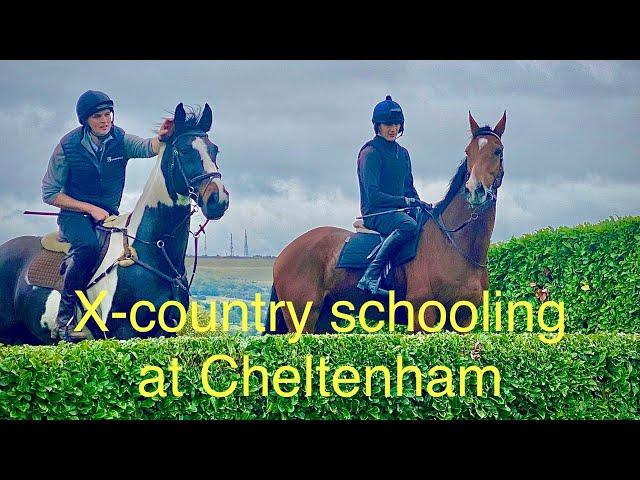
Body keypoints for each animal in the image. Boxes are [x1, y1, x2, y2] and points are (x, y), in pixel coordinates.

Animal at [0, 101, 230, 344]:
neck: (154, 250)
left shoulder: (165, 332)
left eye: (215, 150)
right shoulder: (123, 333)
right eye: (184, 150)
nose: (218, 200)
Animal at [268, 111, 504, 334]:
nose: (474, 190)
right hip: (303, 318)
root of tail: (284, 253)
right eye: (468, 152)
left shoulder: (463, 319)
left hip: (325, 320)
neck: (455, 246)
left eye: (498, 151)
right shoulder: (423, 316)